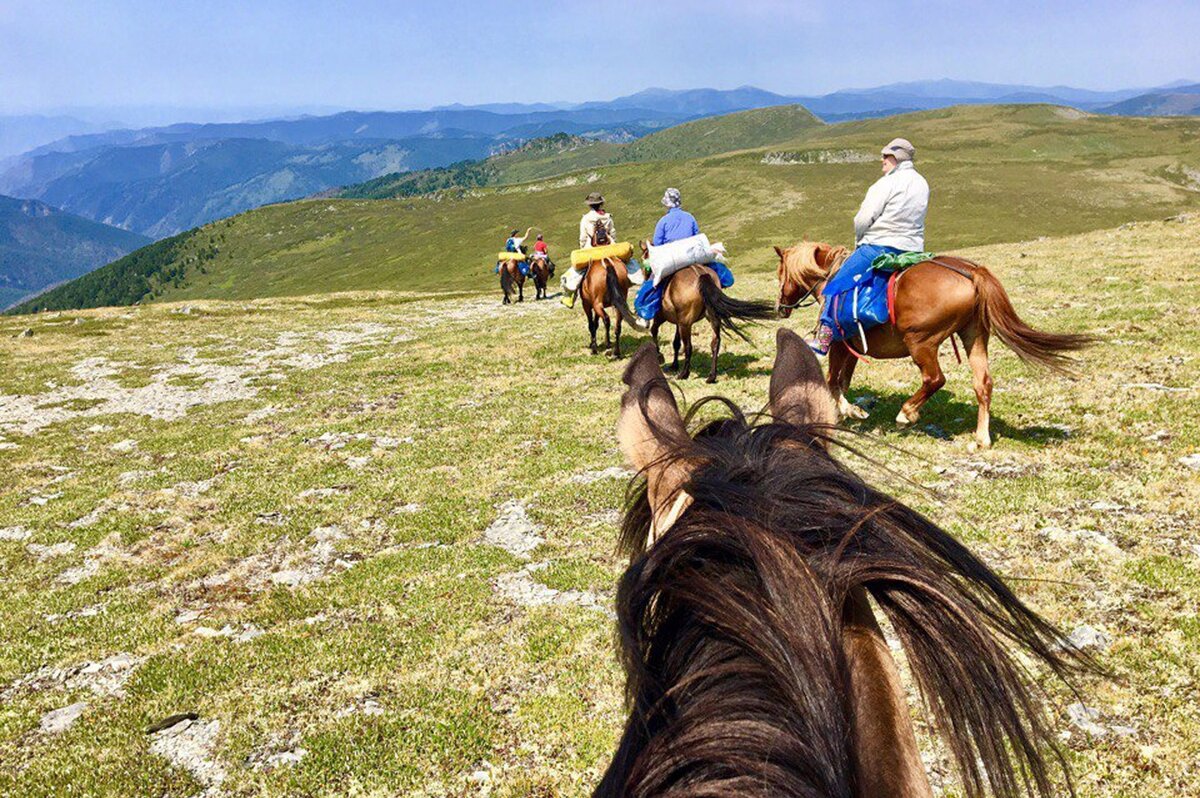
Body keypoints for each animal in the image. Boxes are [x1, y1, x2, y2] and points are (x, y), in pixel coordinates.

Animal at [772, 241, 1094, 448]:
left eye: (779, 274)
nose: (780, 307)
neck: (831, 279)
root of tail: (972, 272)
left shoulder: (839, 345)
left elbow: (833, 380)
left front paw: (845, 413)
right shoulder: (853, 348)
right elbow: (842, 381)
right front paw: (847, 412)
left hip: (921, 342)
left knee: (935, 378)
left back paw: (906, 413)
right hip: (974, 336)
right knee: (983, 383)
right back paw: (981, 438)